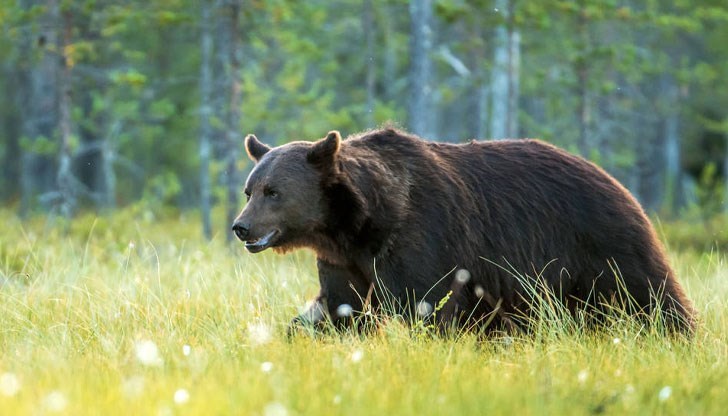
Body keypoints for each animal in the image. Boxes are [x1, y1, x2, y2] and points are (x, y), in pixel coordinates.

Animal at [230, 128, 696, 336]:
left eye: (273, 192)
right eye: (249, 189)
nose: (241, 226)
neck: (357, 225)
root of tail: (616, 182)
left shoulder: (422, 237)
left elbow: (425, 303)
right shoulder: (345, 260)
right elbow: (340, 306)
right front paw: (300, 332)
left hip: (600, 243)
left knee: (649, 295)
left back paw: (679, 336)